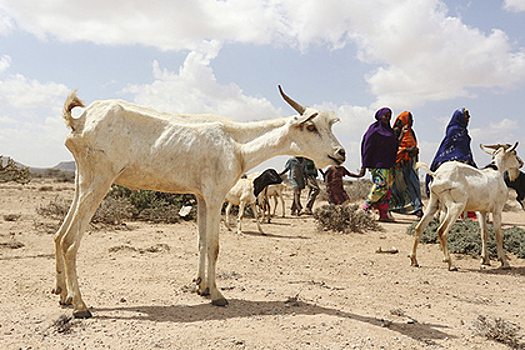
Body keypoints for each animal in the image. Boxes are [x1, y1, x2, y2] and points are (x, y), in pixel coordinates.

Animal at [54, 85, 348, 318]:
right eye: (311, 126)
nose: (341, 153)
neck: (235, 143)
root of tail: (80, 121)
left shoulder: (202, 197)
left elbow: (202, 243)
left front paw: (201, 286)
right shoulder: (216, 196)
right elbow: (215, 246)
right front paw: (217, 295)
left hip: (83, 182)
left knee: (58, 235)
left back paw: (63, 294)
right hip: (99, 182)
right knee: (70, 241)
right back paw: (80, 306)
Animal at [412, 142, 520, 270]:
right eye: (514, 153)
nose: (521, 163)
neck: (496, 170)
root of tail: (436, 174)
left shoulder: (482, 211)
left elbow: (484, 234)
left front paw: (485, 260)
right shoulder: (497, 210)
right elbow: (499, 236)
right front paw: (504, 262)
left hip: (434, 203)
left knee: (419, 228)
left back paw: (414, 260)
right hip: (456, 207)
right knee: (441, 231)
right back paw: (451, 264)